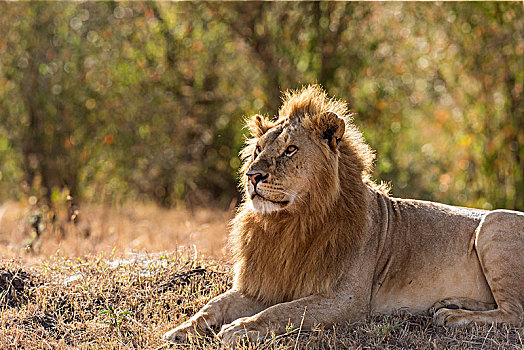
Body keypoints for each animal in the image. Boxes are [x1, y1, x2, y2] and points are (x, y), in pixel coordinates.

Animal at [163, 84, 520, 344]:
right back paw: (451, 304)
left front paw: (240, 328)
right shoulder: (267, 282)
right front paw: (180, 330)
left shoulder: (347, 299)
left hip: (494, 224)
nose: (252, 176)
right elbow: (215, 305)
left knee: (515, 314)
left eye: (290, 150)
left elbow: (285, 312)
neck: (290, 224)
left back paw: (455, 316)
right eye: (257, 150)